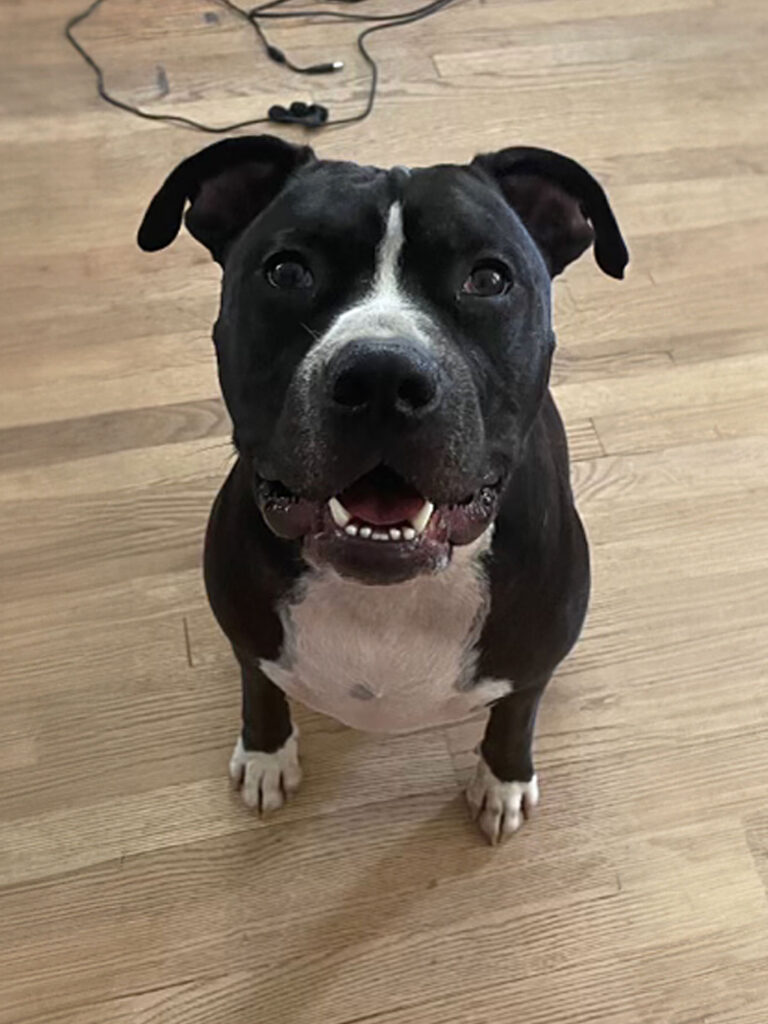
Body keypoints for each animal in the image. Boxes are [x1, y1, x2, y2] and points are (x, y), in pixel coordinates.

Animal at [138, 136, 626, 843]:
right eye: (287, 272)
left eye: (488, 279)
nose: (382, 377)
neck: (387, 597)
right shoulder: (245, 632)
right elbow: (259, 685)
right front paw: (266, 755)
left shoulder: (536, 659)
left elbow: (516, 715)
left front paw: (502, 782)